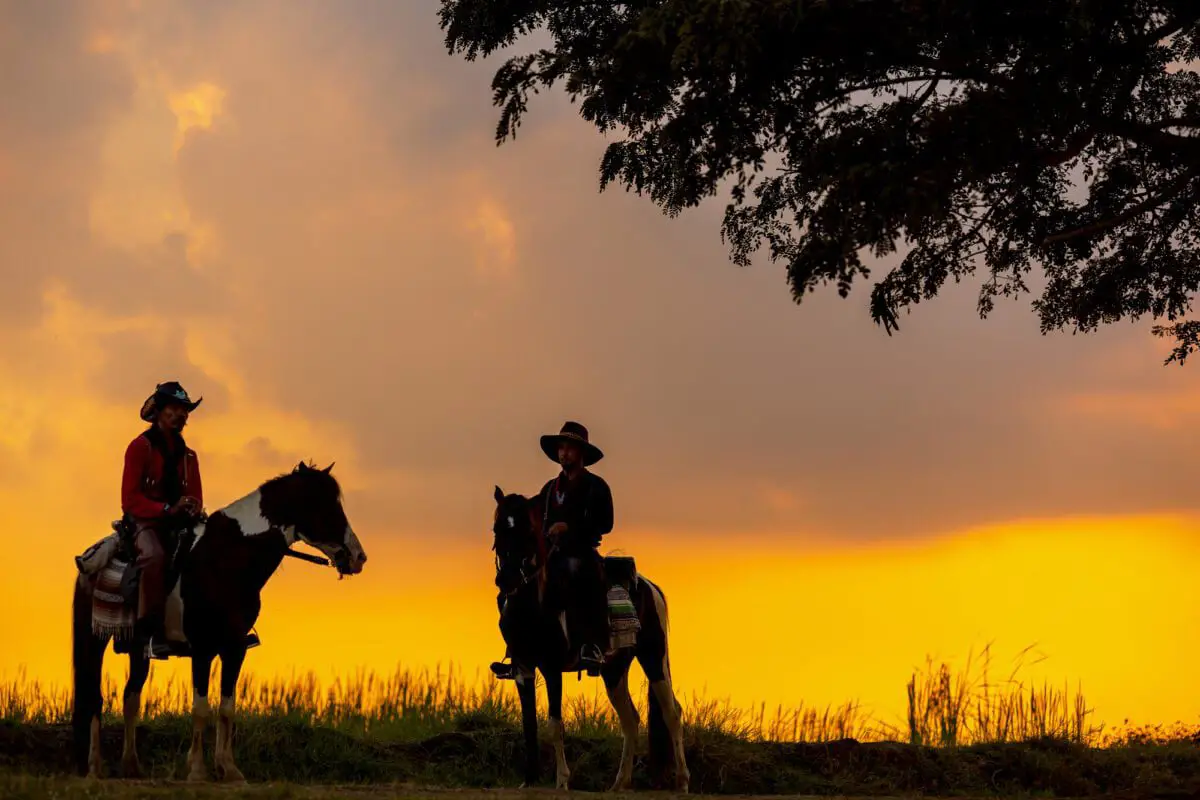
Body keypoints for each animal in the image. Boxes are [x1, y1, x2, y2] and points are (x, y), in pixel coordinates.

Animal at [70, 462, 364, 782]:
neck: (226, 560)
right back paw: (95, 767)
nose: (358, 557)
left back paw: (132, 766)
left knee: (130, 697)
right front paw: (198, 770)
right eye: (327, 505)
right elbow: (201, 708)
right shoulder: (202, 649)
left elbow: (226, 709)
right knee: (94, 697)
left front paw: (229, 768)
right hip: (94, 639)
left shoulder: (235, 648)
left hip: (138, 649)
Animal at [492, 482, 691, 796]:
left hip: (653, 657)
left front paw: (562, 780)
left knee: (671, 713)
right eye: (497, 528)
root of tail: (649, 586)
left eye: (526, 531)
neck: (533, 602)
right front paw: (530, 779)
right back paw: (619, 783)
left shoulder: (551, 668)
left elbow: (554, 725)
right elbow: (529, 723)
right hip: (614, 669)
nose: (507, 580)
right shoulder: (523, 668)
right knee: (630, 720)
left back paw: (682, 782)